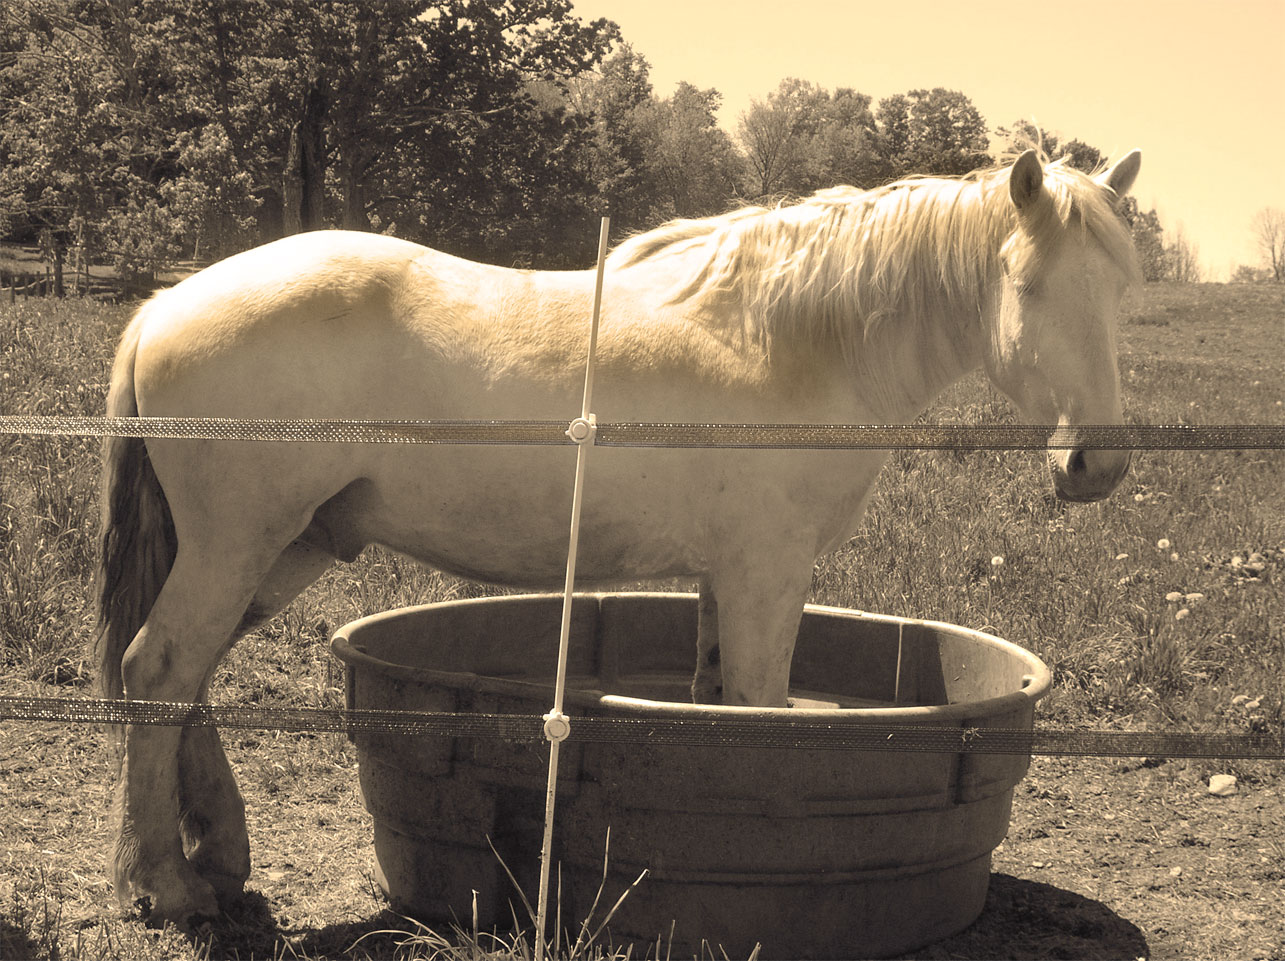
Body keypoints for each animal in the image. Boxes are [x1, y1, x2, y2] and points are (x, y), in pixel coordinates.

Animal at [97, 148, 1146, 925]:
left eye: (1121, 290)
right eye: (1029, 285)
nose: (1094, 464)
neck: (796, 342)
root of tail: (165, 304)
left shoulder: (728, 581)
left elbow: (716, 700)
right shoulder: (768, 574)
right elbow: (759, 711)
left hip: (287, 547)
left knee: (187, 678)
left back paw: (217, 854)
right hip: (240, 542)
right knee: (160, 667)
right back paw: (167, 885)